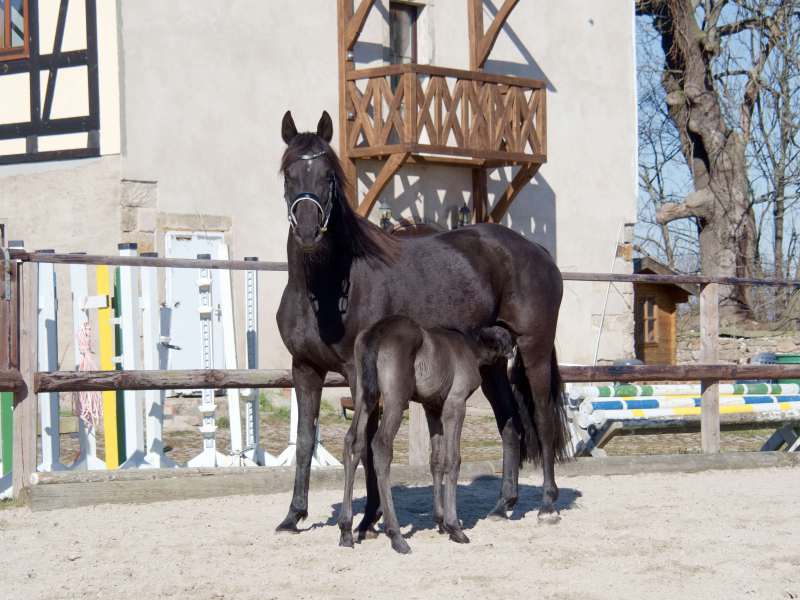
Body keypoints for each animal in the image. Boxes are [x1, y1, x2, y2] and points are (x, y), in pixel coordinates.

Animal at [338, 316, 512, 556]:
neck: (472, 348)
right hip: (396, 399)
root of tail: (376, 332)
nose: (512, 360)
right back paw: (397, 536)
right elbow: (453, 459)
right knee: (381, 445)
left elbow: (436, 460)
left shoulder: (433, 408)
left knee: (353, 442)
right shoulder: (455, 404)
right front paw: (454, 527)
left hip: (363, 395)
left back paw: (346, 531)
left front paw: (440, 521)